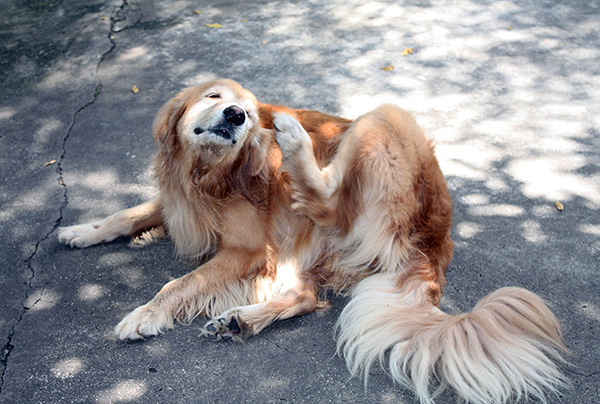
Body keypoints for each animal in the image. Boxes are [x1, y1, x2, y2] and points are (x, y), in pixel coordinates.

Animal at [58, 79, 568, 404]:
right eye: (213, 95)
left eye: (245, 111)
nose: (237, 115)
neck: (208, 175)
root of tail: (436, 239)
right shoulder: (178, 204)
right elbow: (127, 214)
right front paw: (82, 231)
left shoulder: (247, 249)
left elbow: (179, 284)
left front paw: (144, 315)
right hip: (308, 245)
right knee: (305, 296)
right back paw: (240, 321)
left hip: (382, 122)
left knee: (328, 203)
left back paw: (294, 137)